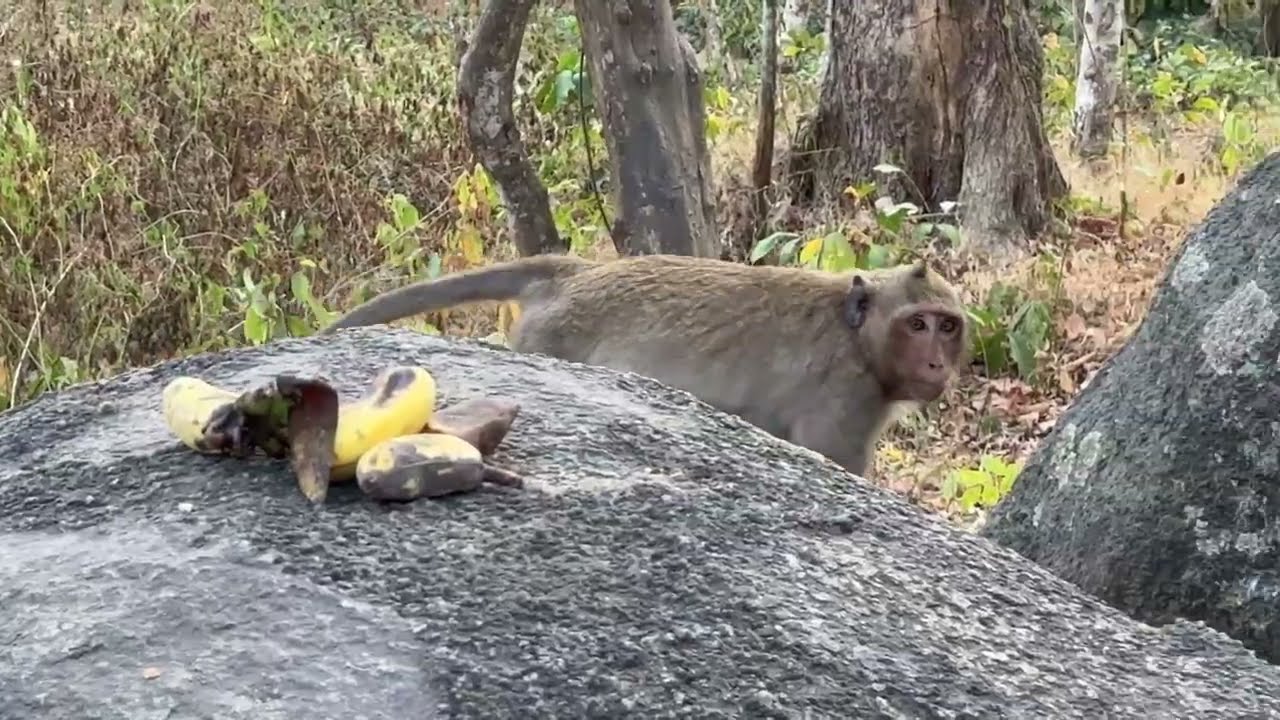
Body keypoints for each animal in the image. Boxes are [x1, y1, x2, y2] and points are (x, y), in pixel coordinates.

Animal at [323, 254, 967, 477]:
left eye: (948, 325)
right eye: (917, 324)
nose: (938, 363)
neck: (857, 338)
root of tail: (576, 272)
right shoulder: (844, 400)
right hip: (548, 341)